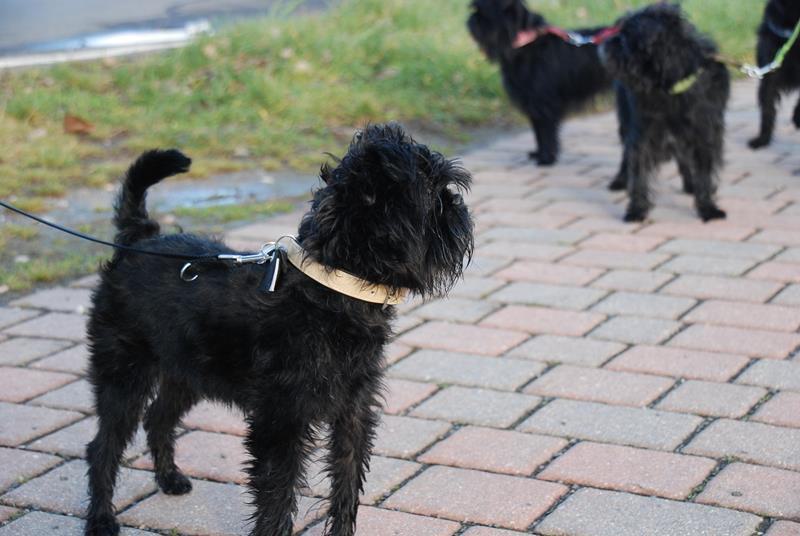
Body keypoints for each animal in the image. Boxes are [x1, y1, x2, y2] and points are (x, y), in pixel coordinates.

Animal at [83, 123, 474, 536]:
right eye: (435, 193)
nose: (457, 205)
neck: (331, 291)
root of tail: (140, 237)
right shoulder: (281, 420)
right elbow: (277, 493)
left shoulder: (353, 412)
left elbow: (346, 484)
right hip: (124, 371)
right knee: (104, 445)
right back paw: (101, 519)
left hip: (186, 372)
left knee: (158, 418)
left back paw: (169, 479)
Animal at [467, 0, 613, 166]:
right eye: (475, 11)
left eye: (483, 14)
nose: (471, 19)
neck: (526, 44)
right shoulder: (533, 104)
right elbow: (538, 132)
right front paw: (538, 153)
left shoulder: (544, 104)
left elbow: (546, 133)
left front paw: (546, 158)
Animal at [602, 3, 729, 222]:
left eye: (626, 38)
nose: (608, 42)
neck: (669, 85)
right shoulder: (642, 134)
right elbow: (639, 171)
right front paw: (637, 209)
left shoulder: (704, 134)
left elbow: (704, 172)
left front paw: (707, 208)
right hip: (626, 120)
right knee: (626, 153)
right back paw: (620, 180)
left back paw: (690, 184)